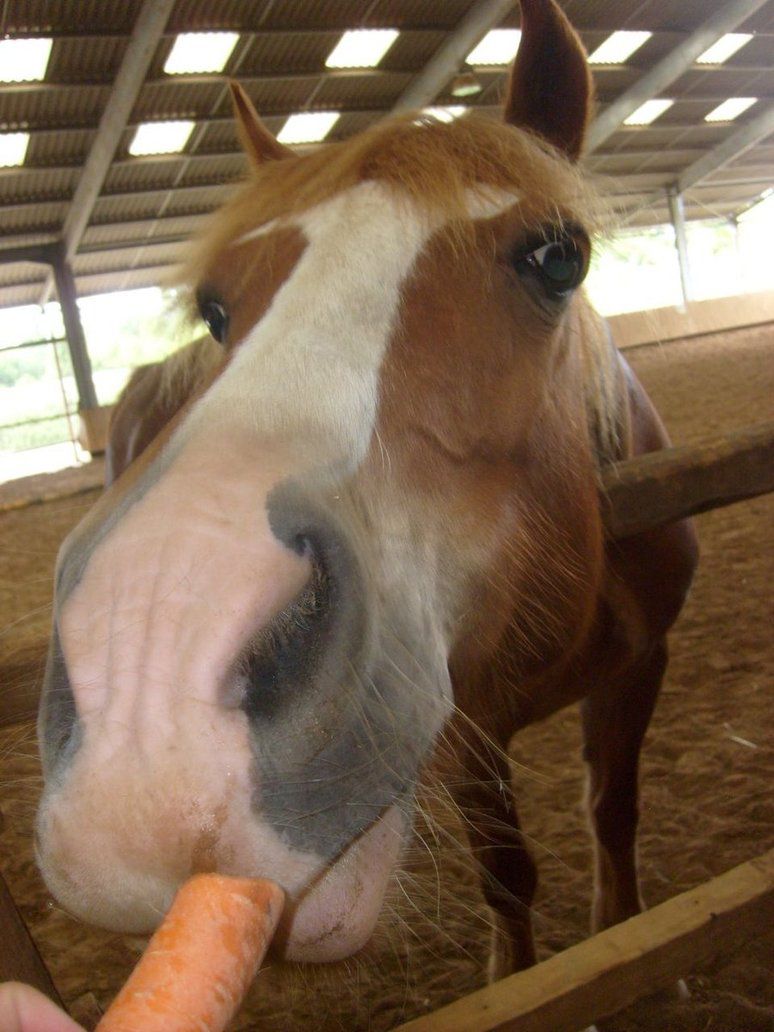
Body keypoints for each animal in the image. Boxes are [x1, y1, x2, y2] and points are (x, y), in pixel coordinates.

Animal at [36, 0, 698, 981]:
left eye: (560, 258)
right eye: (216, 309)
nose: (150, 684)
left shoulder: (641, 662)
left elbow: (612, 813)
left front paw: (622, 928)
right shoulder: (466, 734)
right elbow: (507, 875)